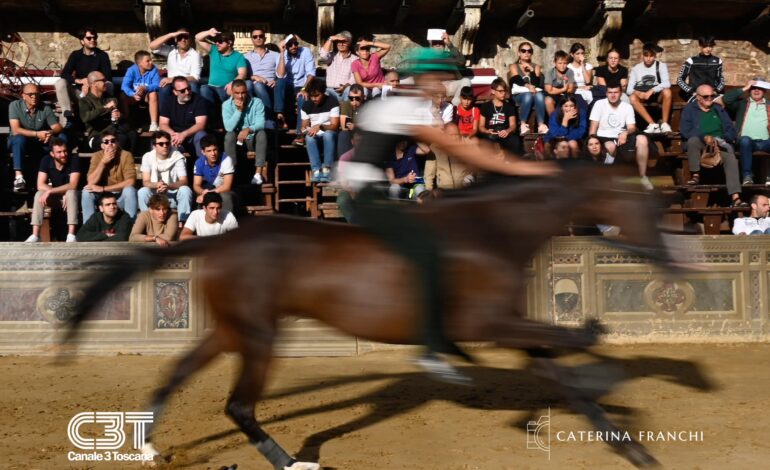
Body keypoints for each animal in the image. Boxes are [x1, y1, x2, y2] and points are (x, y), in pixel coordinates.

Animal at [64, 161, 680, 466]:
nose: (667, 258)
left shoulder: (510, 325)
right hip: (260, 335)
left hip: (235, 328)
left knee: (179, 372)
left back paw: (149, 445)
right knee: (239, 405)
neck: (490, 231)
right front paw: (601, 357)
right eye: (640, 202)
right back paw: (294, 463)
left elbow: (565, 376)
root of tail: (222, 241)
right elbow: (579, 340)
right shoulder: (485, 323)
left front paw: (638, 451)